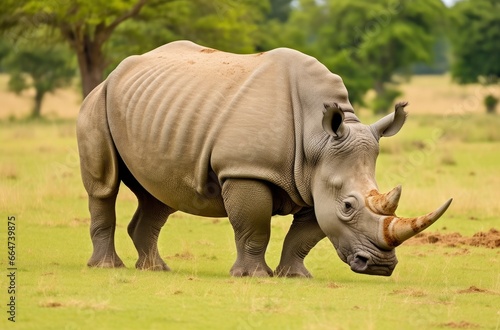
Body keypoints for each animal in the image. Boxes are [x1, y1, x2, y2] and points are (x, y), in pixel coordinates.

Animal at [76, 41, 452, 278]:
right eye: (348, 206)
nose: (379, 266)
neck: (317, 140)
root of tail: (114, 73)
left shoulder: (315, 180)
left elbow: (304, 237)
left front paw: (295, 276)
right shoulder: (247, 170)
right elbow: (254, 227)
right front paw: (252, 276)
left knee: (159, 194)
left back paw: (156, 269)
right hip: (98, 101)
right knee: (104, 187)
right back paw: (107, 267)